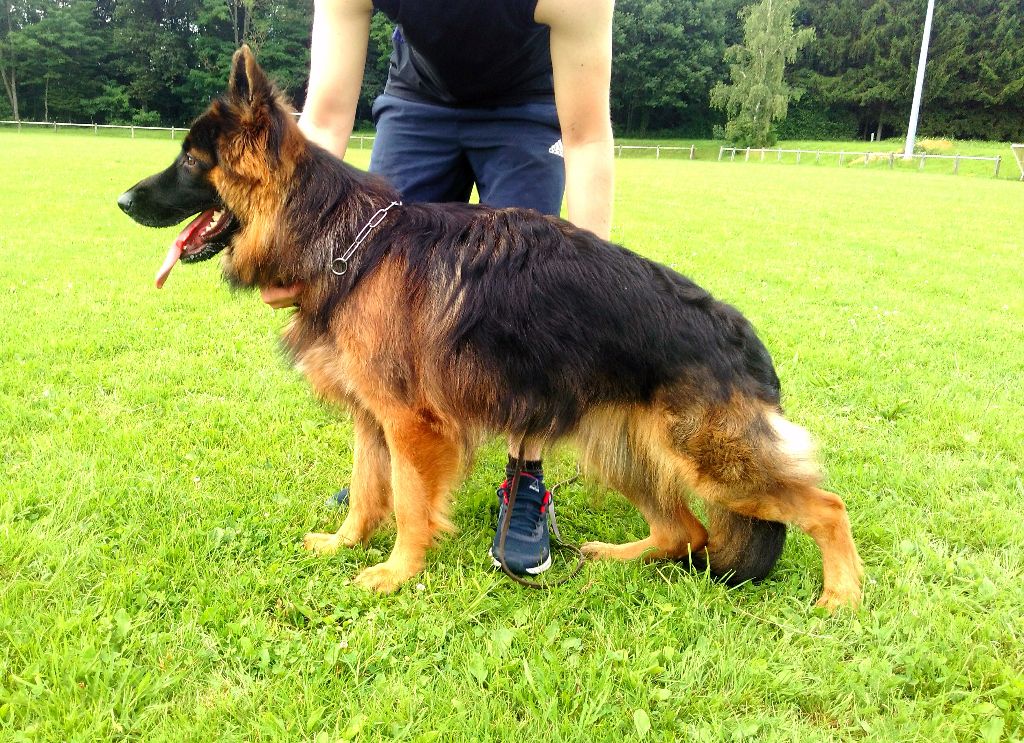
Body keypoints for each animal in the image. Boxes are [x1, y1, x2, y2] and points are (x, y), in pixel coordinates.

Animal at [116, 49, 860, 614]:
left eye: (191, 162)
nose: (120, 200)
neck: (345, 240)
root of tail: (744, 338)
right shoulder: (371, 419)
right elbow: (367, 489)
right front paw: (347, 541)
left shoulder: (410, 425)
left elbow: (409, 502)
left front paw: (398, 571)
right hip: (626, 450)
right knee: (687, 530)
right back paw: (616, 556)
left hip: (710, 459)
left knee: (824, 505)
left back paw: (842, 597)